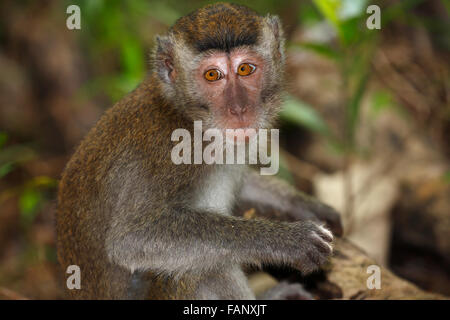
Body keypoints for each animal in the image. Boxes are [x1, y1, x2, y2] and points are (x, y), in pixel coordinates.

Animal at [56, 1, 342, 300]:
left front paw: (304, 205)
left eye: (245, 69)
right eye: (212, 75)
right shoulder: (166, 155)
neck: (189, 117)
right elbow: (131, 239)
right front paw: (289, 240)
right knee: (199, 268)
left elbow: (246, 184)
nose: (239, 109)